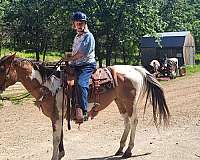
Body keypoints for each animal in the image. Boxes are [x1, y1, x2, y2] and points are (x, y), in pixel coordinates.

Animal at [0, 54, 170, 159]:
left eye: (2, 69)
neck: (48, 84)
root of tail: (136, 69)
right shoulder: (59, 116)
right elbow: (60, 136)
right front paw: (61, 154)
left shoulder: (56, 116)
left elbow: (55, 138)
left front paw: (55, 157)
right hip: (120, 102)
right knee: (127, 122)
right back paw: (121, 148)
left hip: (130, 103)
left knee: (133, 121)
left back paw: (128, 150)